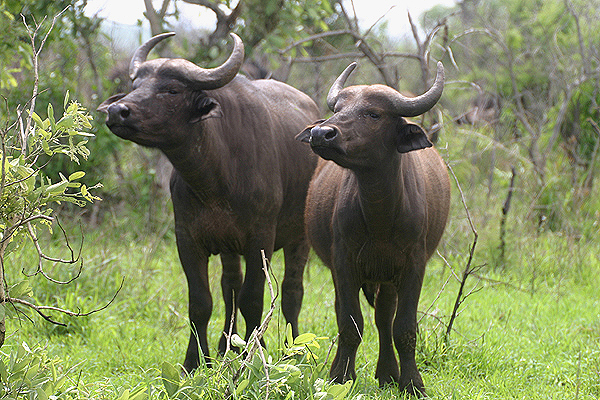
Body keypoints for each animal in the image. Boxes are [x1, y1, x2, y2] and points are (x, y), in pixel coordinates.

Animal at [99, 33, 318, 372]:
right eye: (135, 84)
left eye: (172, 89)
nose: (117, 111)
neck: (214, 178)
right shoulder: (188, 239)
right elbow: (202, 301)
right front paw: (195, 360)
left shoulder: (260, 240)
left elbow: (253, 300)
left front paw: (254, 353)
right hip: (229, 247)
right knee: (230, 286)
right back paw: (226, 343)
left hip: (300, 238)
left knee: (292, 292)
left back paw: (294, 348)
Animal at [296, 61, 450, 394]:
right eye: (339, 109)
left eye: (373, 114)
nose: (321, 133)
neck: (380, 215)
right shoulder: (343, 262)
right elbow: (350, 323)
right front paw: (341, 377)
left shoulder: (413, 265)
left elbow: (403, 327)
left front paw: (411, 382)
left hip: (388, 278)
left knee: (383, 317)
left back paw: (388, 373)